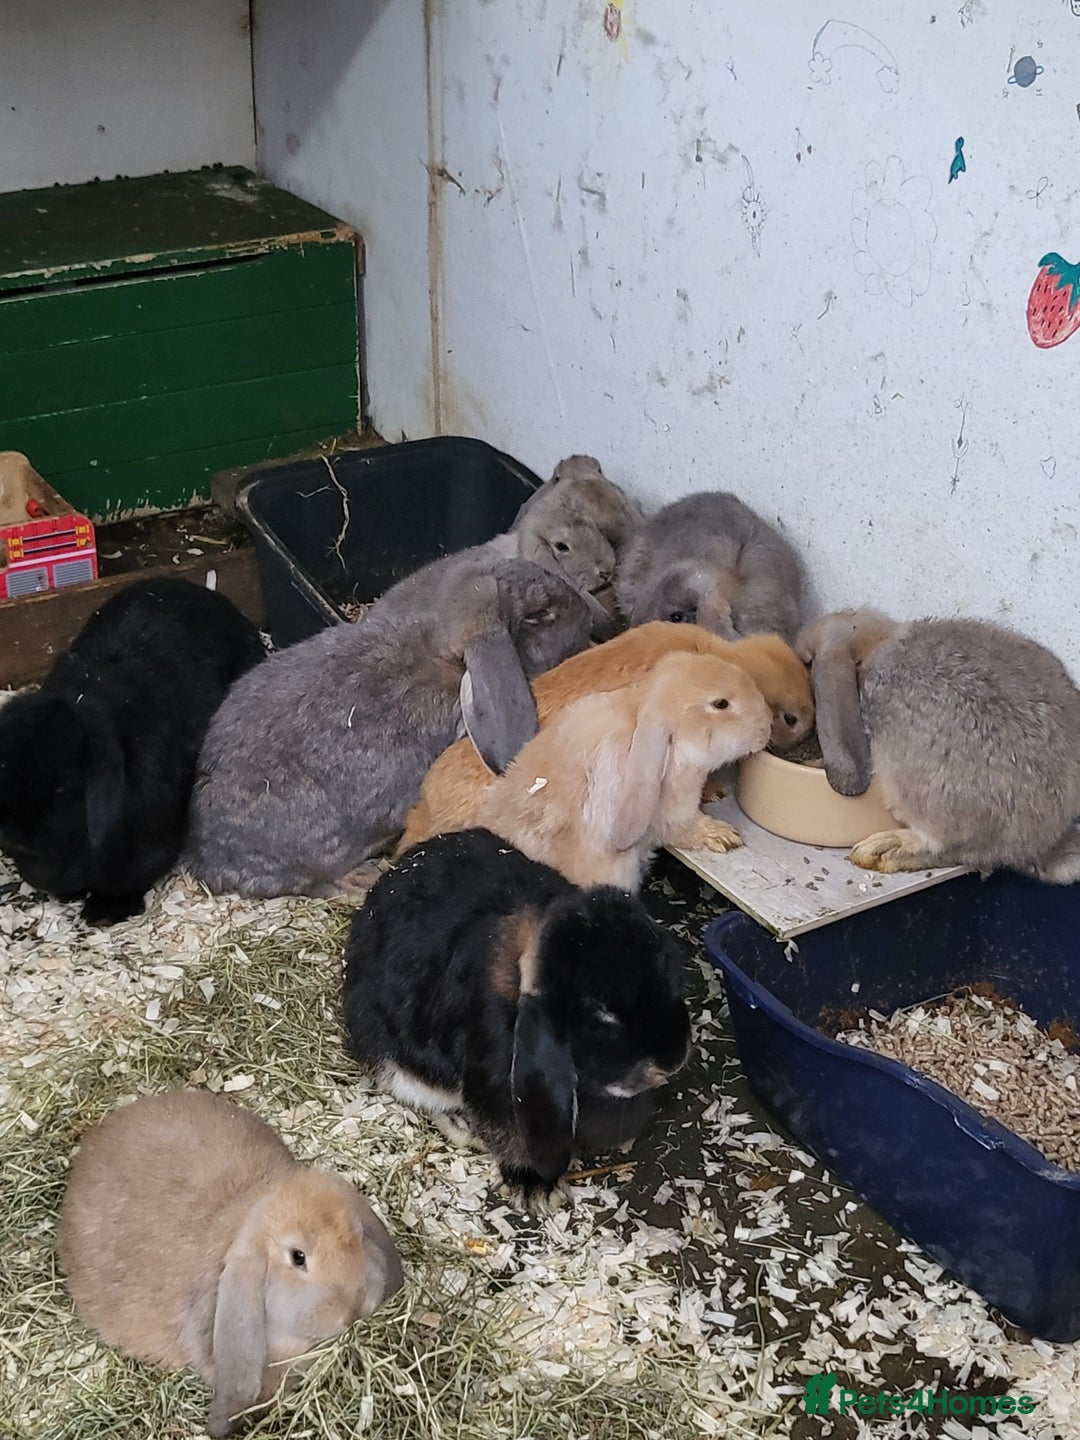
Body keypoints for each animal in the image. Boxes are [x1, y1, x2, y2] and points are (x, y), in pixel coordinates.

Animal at [342, 827, 692, 1211]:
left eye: (674, 978)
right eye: (603, 1012)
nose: (673, 1063)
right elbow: (511, 1134)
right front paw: (535, 1189)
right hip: (396, 1066)